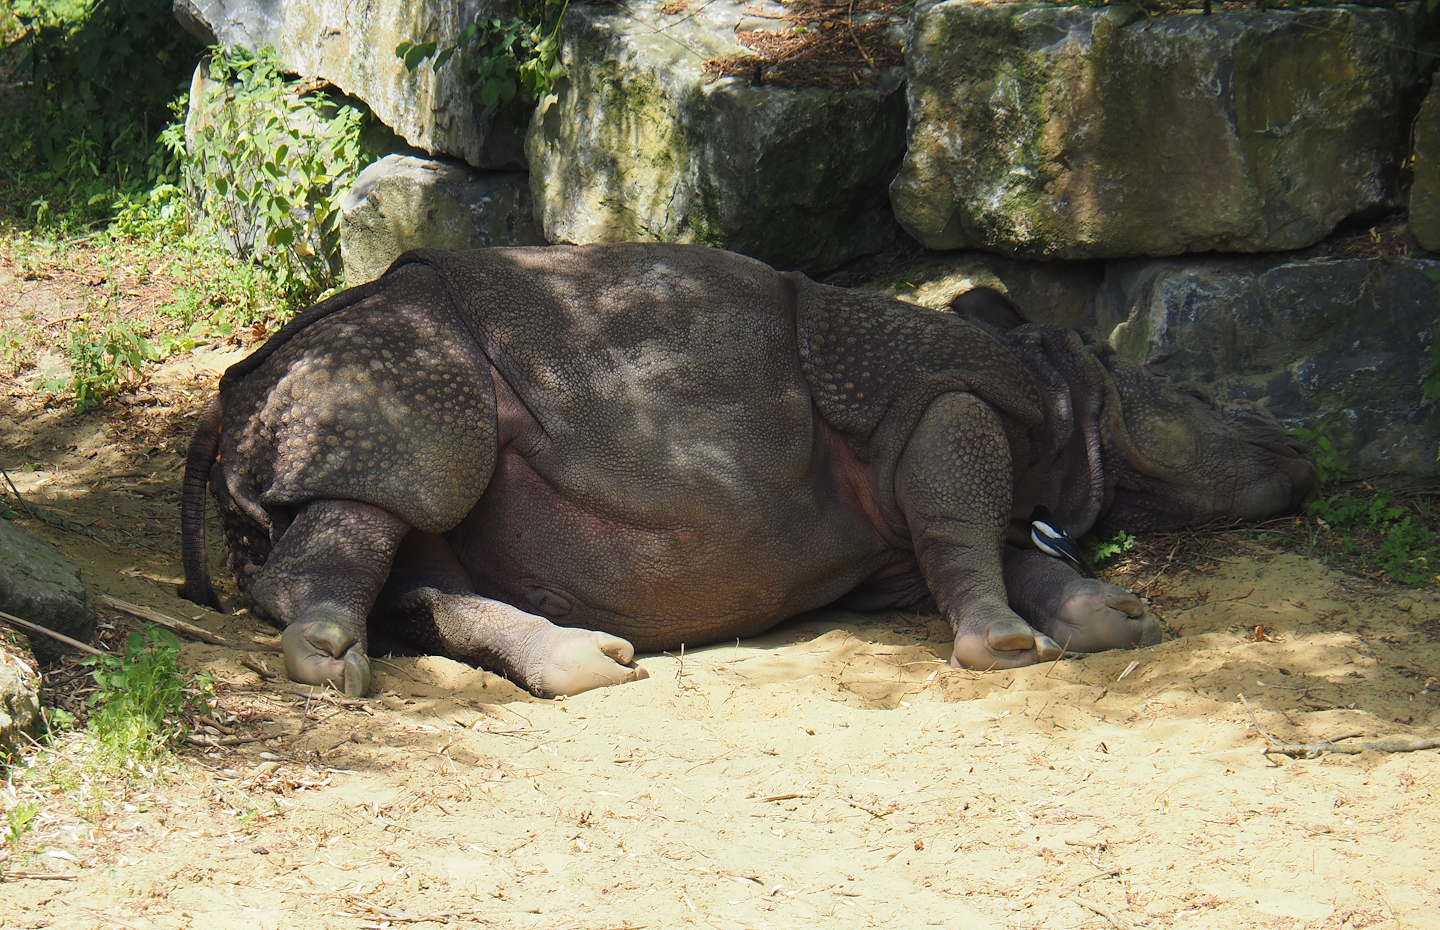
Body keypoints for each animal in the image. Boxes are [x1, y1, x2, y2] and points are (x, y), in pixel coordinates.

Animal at [181, 244, 1314, 698]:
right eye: (1203, 397)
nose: (1301, 452)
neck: (1065, 388)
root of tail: (236, 388)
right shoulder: (939, 400)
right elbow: (965, 515)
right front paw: (1000, 650)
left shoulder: (890, 538)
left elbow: (985, 544)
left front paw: (1109, 619)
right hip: (396, 367)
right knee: (404, 475)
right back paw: (330, 659)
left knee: (420, 558)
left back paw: (590, 665)